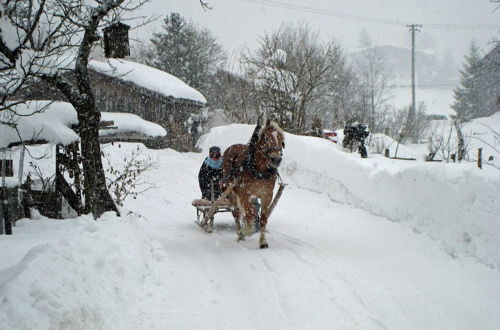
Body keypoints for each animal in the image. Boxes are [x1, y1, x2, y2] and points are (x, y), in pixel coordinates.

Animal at [223, 117, 286, 249]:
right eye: (266, 137)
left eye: (281, 140)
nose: (276, 159)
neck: (259, 170)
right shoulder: (243, 193)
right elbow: (250, 213)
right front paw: (246, 231)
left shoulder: (267, 195)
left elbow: (263, 218)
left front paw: (263, 242)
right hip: (231, 191)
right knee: (237, 213)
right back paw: (240, 233)